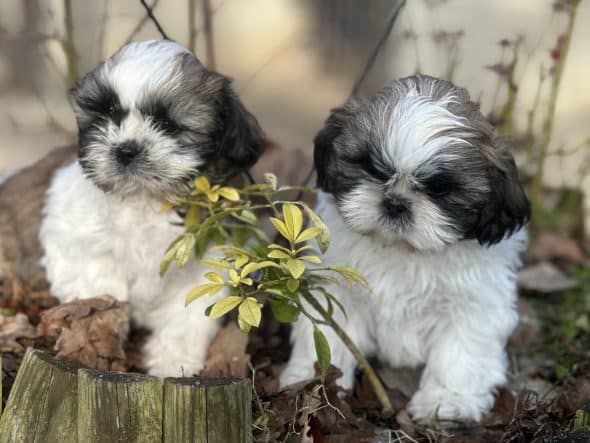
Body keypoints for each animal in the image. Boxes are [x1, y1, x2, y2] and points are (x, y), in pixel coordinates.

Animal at [39, 39, 264, 378]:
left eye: (167, 124)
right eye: (107, 113)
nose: (125, 149)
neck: (145, 200)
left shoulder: (204, 267)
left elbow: (186, 318)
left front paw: (173, 363)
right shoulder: (74, 234)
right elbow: (97, 285)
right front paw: (97, 337)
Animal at [280, 75, 532, 424]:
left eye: (440, 189)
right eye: (372, 169)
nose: (396, 203)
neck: (402, 250)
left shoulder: (473, 304)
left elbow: (460, 351)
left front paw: (447, 401)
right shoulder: (338, 287)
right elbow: (329, 334)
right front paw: (313, 380)